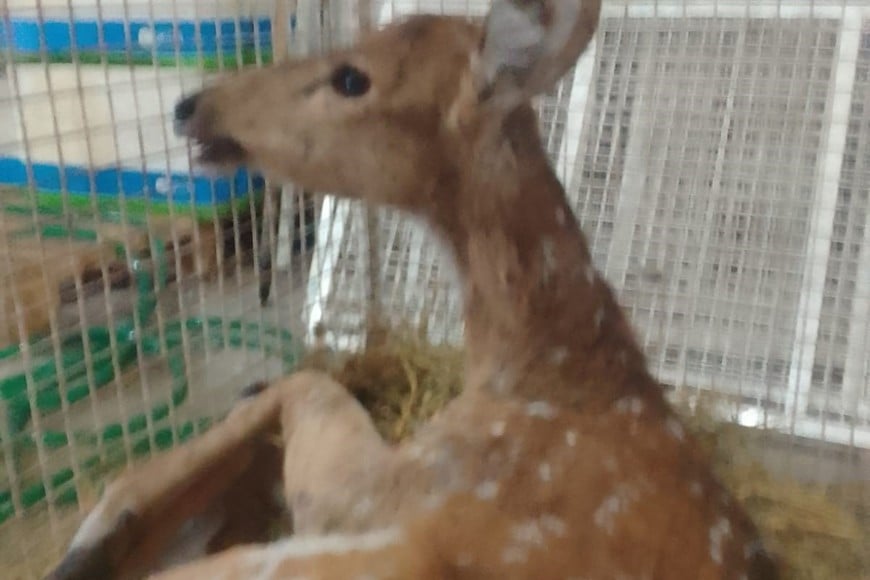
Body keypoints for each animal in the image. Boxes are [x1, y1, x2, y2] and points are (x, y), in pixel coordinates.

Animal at [46, 0, 784, 576]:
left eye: (352, 77)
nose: (191, 105)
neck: (546, 363)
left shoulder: (382, 494)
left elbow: (310, 381)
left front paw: (103, 522)